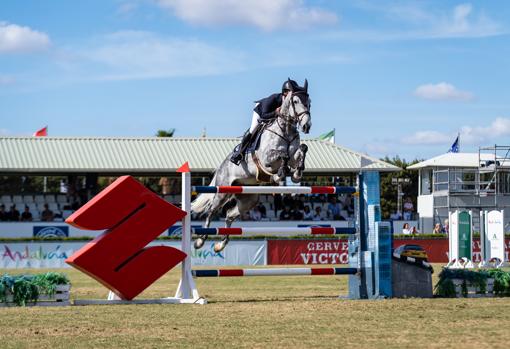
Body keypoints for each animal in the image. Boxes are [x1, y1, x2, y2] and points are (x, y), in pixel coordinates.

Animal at [191, 81, 310, 250]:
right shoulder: (266, 159)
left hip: (248, 199)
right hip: (222, 192)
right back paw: (200, 240)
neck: (285, 130)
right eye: (295, 101)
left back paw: (220, 245)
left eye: (309, 102)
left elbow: (301, 150)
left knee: (229, 215)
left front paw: (296, 173)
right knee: (211, 212)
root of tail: (220, 168)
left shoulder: (294, 155)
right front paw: (280, 173)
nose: (307, 125)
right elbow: (282, 155)